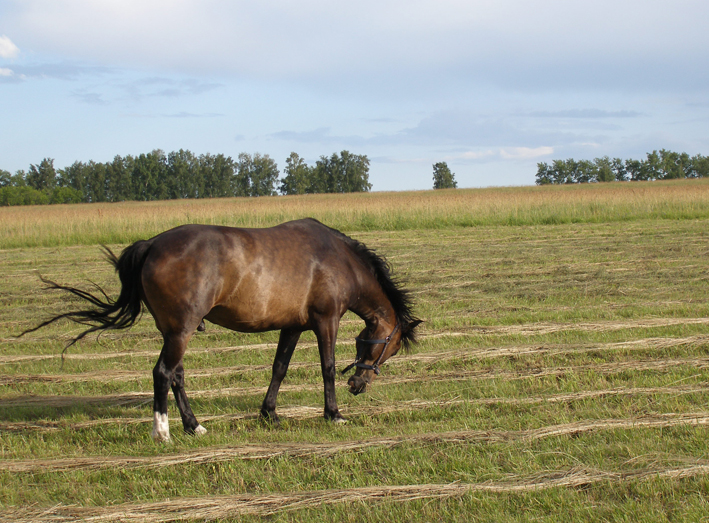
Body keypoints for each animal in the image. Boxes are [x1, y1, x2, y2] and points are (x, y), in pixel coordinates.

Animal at [24, 218, 418, 442]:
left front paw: (269, 413)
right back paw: (162, 432)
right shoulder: (326, 321)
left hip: (173, 332)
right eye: (392, 347)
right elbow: (328, 368)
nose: (359, 385)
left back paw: (193, 425)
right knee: (162, 373)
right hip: (180, 331)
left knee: (176, 376)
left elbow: (279, 369)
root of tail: (151, 244)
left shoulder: (292, 326)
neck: (337, 258)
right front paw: (334, 414)